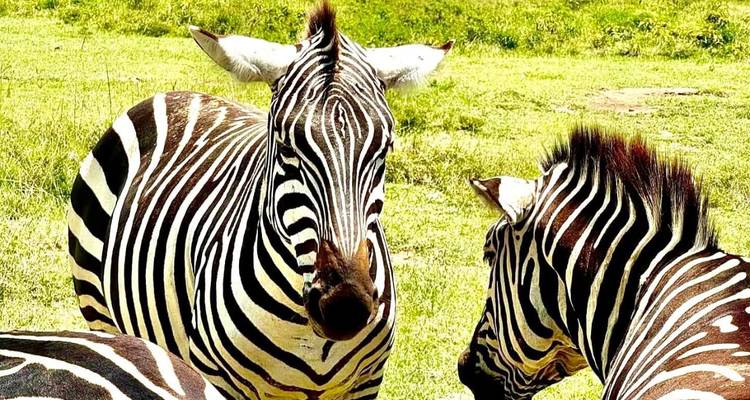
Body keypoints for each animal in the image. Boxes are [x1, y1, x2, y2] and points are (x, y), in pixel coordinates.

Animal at [66, 2, 452, 398]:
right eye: (286, 147)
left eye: (384, 149)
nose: (345, 306)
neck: (306, 330)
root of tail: (170, 95)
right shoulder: (219, 380)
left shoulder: (367, 383)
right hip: (100, 312)